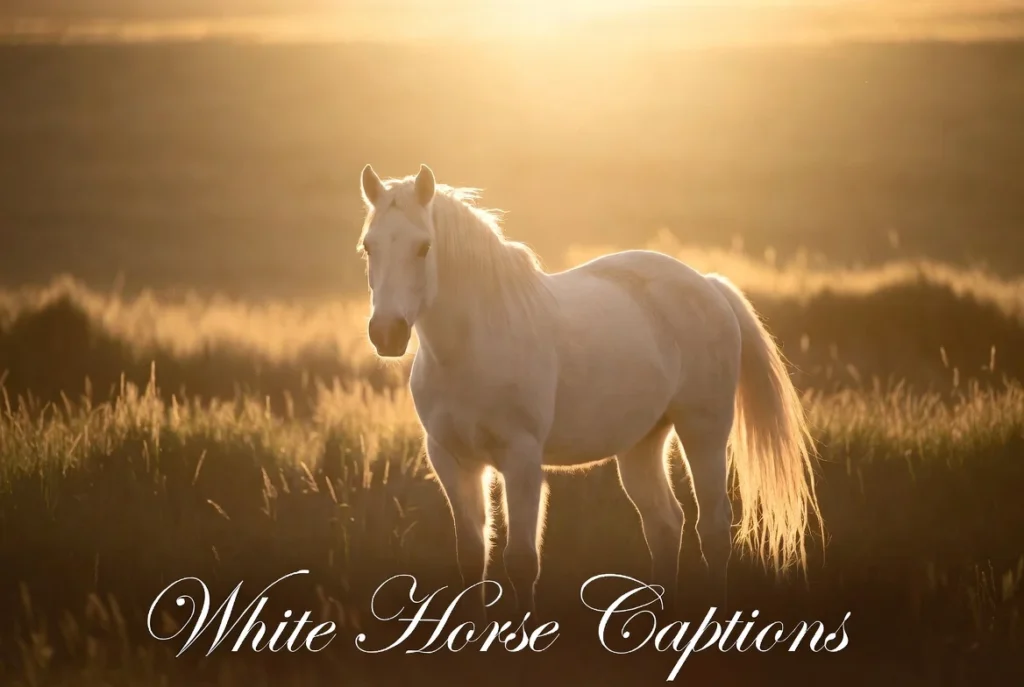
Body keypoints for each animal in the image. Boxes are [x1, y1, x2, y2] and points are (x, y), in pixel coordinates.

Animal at [355, 163, 823, 617]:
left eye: (423, 247)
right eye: (368, 247)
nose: (386, 333)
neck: (469, 348)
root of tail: (709, 286)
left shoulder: (521, 460)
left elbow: (521, 561)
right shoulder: (453, 461)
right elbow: (472, 559)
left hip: (703, 432)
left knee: (712, 530)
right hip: (642, 444)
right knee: (665, 525)